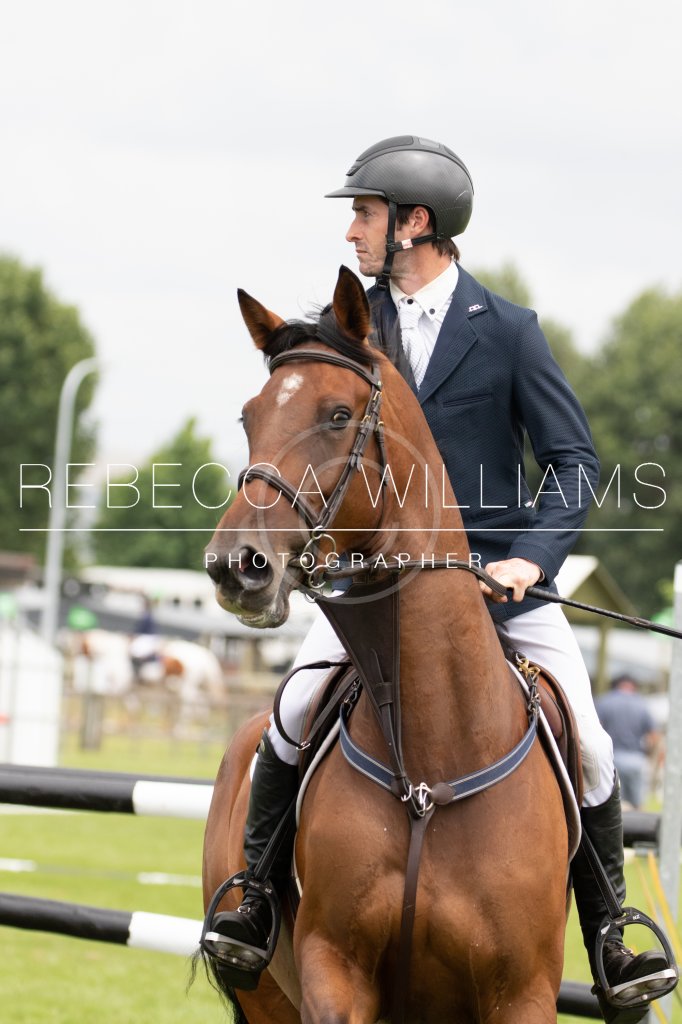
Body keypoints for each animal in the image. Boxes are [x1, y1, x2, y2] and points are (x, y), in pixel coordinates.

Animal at [200, 266, 569, 1023]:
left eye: (339, 415)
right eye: (250, 418)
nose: (235, 566)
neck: (432, 761)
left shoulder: (521, 993)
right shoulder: (333, 971)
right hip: (266, 995)